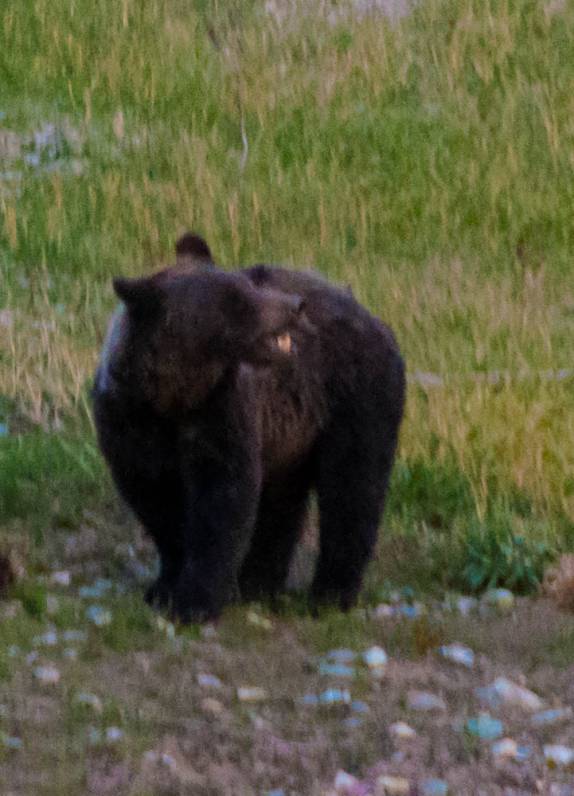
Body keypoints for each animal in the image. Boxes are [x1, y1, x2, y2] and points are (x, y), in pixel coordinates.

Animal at [92, 233, 406, 623]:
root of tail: (367, 312)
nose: (295, 306)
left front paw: (194, 601)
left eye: (248, 286)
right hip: (292, 433)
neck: (172, 397)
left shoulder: (220, 412)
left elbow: (222, 502)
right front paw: (164, 587)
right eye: (237, 300)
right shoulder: (128, 426)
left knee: (353, 488)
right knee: (281, 504)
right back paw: (258, 583)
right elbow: (155, 505)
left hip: (353, 396)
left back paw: (330, 594)